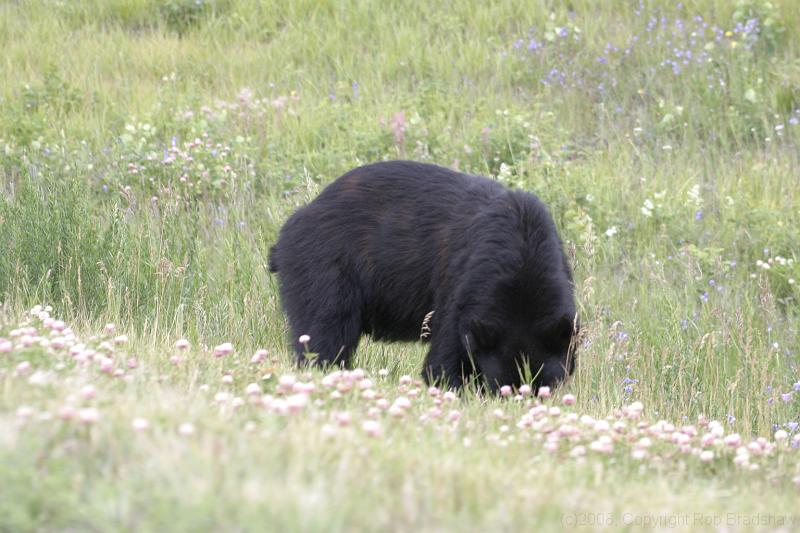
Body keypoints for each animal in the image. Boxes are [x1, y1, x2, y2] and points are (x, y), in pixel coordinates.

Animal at [272, 159, 580, 390]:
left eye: (546, 387)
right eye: (499, 387)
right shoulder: (460, 289)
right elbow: (444, 360)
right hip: (324, 267)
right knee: (326, 328)